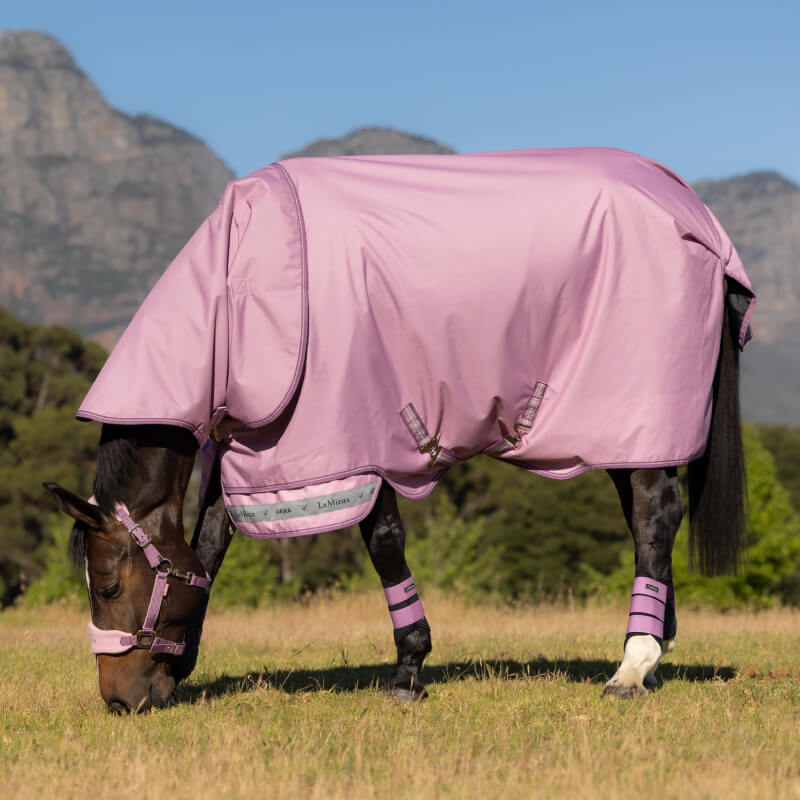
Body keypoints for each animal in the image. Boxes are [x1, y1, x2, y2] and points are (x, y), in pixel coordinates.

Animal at [44, 147, 754, 713]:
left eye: (108, 585)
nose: (122, 700)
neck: (243, 281)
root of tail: (698, 218)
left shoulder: (356, 448)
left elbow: (383, 544)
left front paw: (409, 669)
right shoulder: (249, 453)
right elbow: (209, 545)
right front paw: (183, 663)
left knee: (657, 514)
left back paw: (632, 666)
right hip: (627, 436)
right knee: (644, 519)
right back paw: (652, 650)